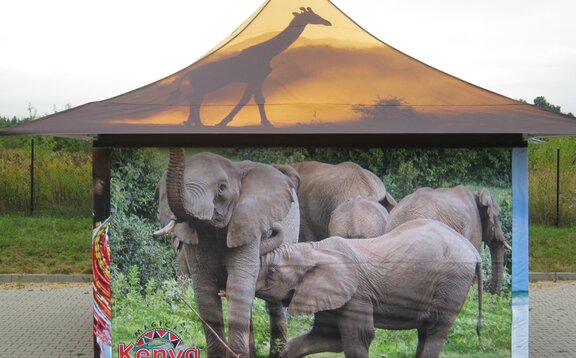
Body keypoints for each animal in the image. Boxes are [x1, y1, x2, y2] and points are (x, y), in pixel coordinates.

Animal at [256, 218, 482, 358]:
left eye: (272, 273)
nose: (270, 226)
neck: (313, 249)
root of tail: (473, 250)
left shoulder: (357, 295)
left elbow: (359, 337)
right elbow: (329, 337)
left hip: (453, 282)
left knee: (435, 329)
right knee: (425, 331)